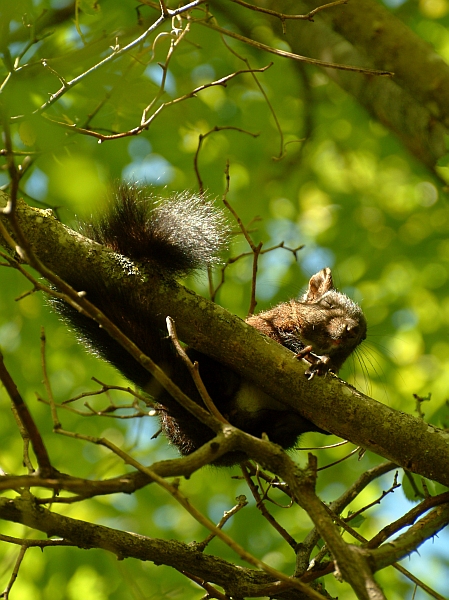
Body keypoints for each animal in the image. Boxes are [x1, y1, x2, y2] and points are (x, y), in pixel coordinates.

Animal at [53, 185, 368, 466]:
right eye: (329, 306)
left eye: (363, 337)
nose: (352, 330)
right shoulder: (269, 324)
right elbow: (279, 336)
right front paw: (302, 350)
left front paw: (326, 366)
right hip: (207, 369)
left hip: (271, 428)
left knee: (283, 428)